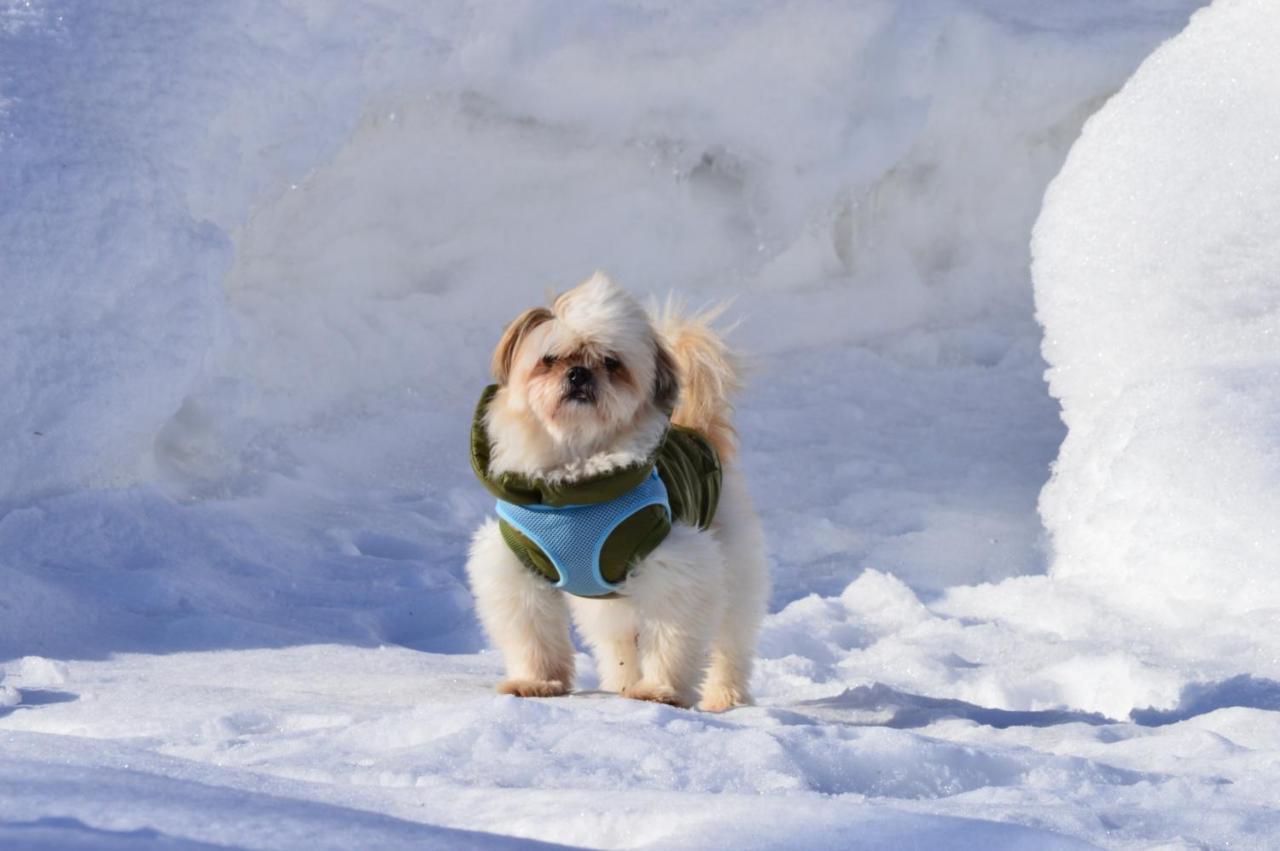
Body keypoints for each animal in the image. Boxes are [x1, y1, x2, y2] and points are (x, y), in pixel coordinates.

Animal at [468, 272, 768, 711]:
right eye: (550, 359)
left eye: (611, 362)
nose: (578, 374)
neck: (576, 480)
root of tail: (697, 430)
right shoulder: (518, 565)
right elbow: (532, 635)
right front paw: (536, 682)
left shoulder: (675, 565)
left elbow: (670, 638)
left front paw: (661, 690)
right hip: (608, 604)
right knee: (618, 644)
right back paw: (621, 685)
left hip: (733, 570)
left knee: (731, 642)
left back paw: (725, 696)